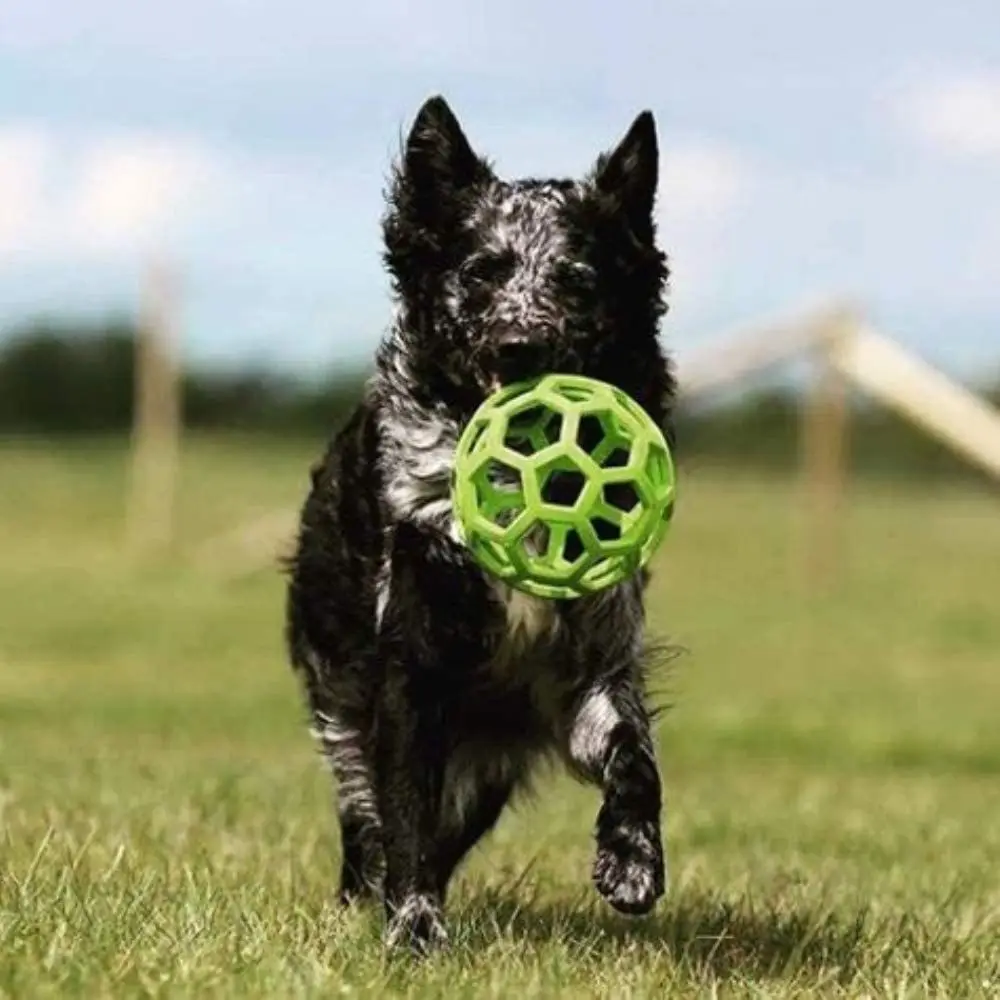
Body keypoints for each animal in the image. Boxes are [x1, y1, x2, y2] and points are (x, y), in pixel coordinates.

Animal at [290, 95, 680, 952]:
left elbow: (635, 756)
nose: (521, 345)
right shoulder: (412, 668)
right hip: (343, 707)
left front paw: (632, 860)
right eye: (480, 273)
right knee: (368, 826)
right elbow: (402, 817)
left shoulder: (591, 662)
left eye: (577, 279)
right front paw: (412, 930)